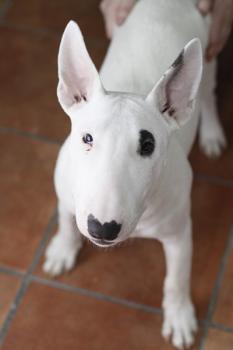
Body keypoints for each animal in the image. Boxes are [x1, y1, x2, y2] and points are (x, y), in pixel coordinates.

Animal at [43, 0, 226, 348]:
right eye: (87, 138)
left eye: (148, 144)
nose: (102, 228)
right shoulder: (65, 191)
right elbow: (65, 219)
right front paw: (63, 249)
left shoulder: (180, 233)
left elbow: (177, 279)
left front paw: (179, 316)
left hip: (209, 57)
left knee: (209, 96)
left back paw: (211, 133)